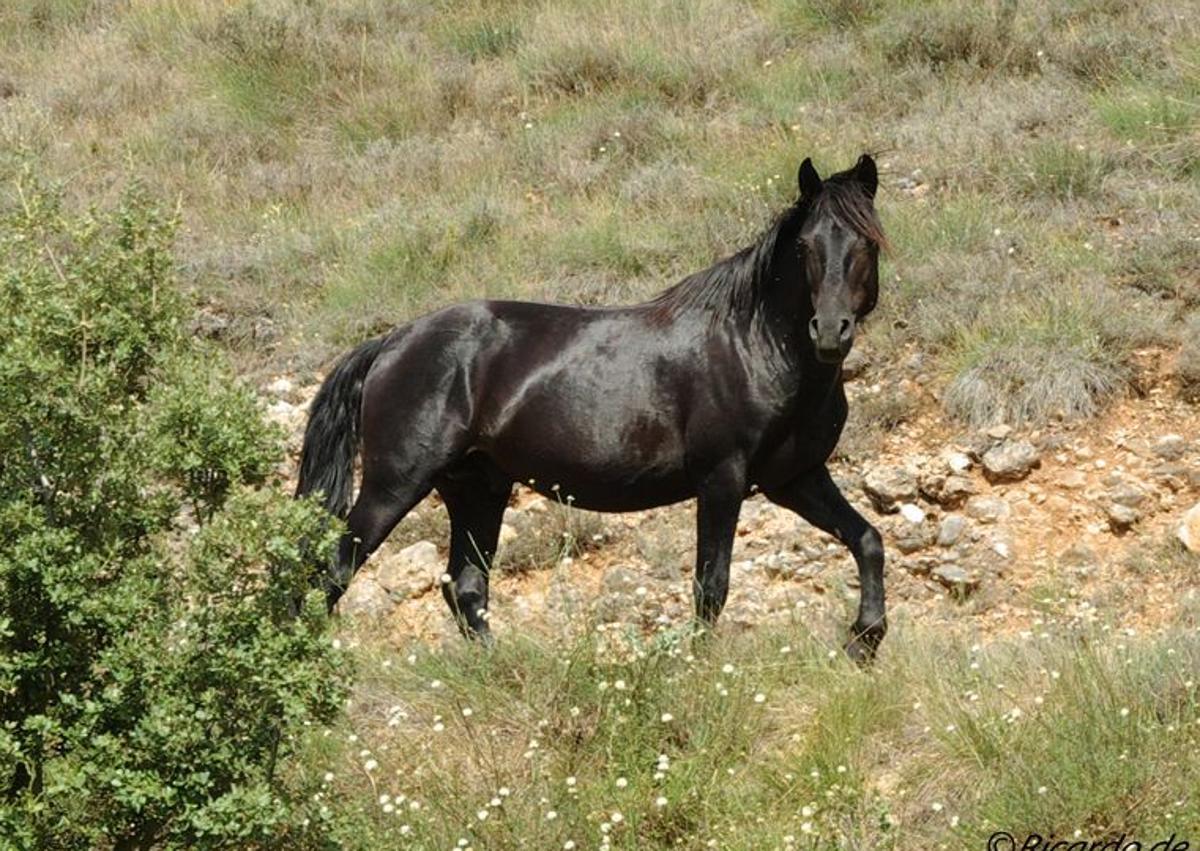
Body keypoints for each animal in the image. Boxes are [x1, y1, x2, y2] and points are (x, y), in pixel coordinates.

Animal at [295, 152, 888, 657]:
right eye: (806, 247)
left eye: (868, 243)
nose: (830, 331)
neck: (752, 345)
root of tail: (391, 342)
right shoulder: (722, 479)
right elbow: (711, 586)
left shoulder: (796, 478)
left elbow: (867, 539)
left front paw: (864, 640)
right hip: (395, 485)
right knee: (334, 571)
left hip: (476, 490)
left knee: (466, 589)